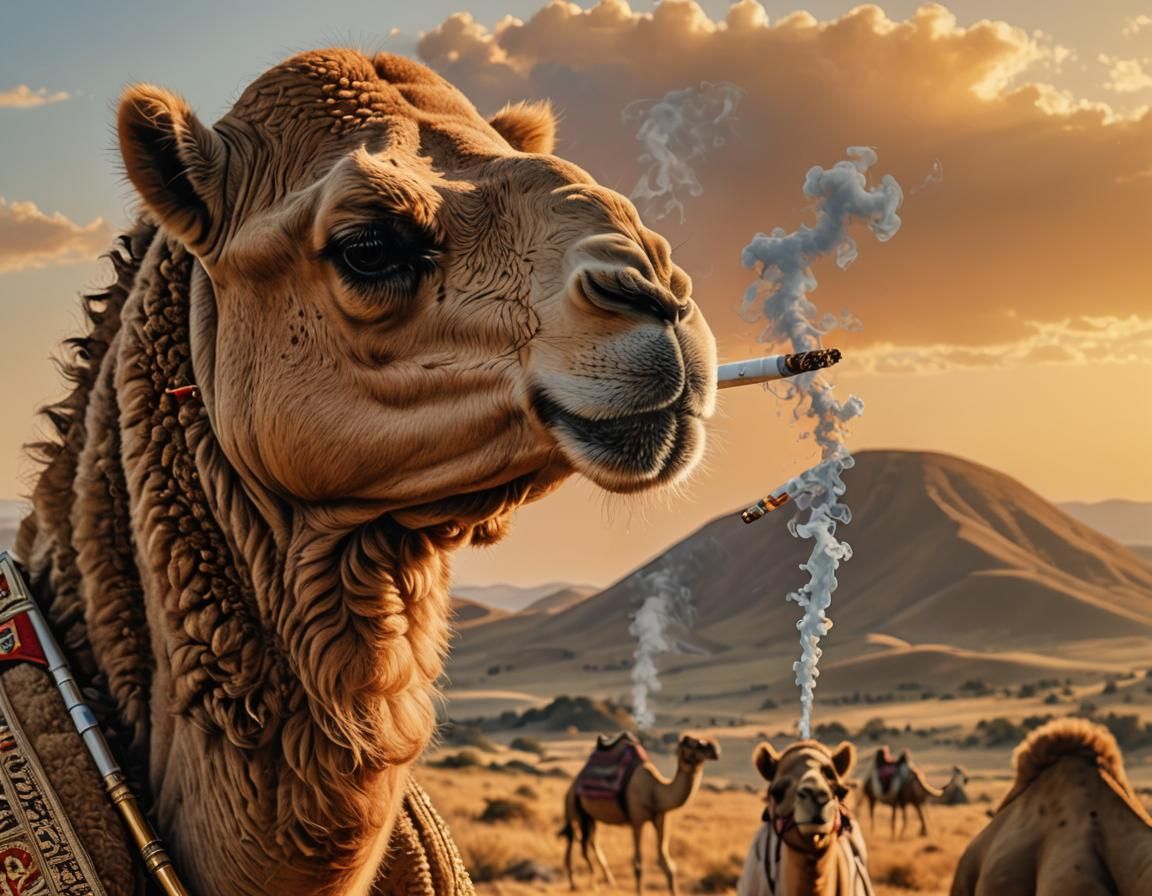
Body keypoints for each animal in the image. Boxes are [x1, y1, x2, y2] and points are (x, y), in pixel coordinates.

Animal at [561, 734, 720, 894]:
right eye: (691, 743)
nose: (715, 748)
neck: (654, 791)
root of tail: (571, 788)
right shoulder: (637, 820)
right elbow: (638, 864)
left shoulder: (661, 818)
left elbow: (668, 864)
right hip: (576, 809)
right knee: (578, 843)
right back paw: (587, 884)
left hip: (590, 817)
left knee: (589, 841)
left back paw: (602, 881)